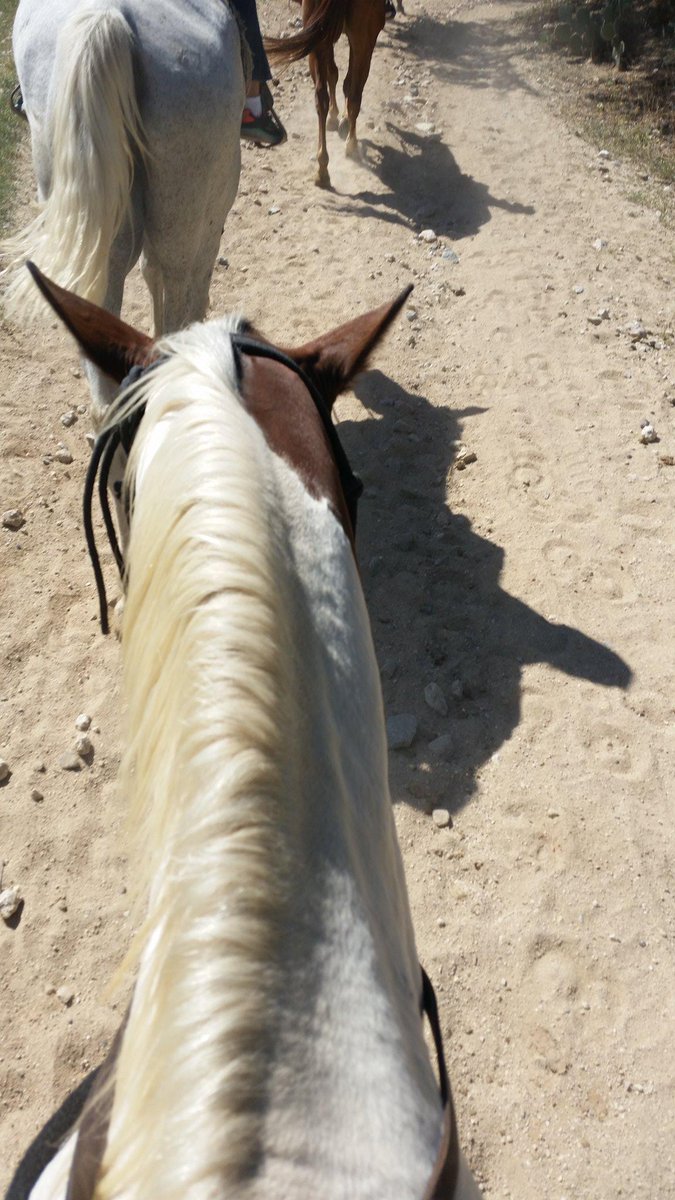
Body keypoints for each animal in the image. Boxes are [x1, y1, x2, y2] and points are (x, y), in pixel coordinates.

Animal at [265, 0, 386, 187]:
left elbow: (336, 76)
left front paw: (337, 116)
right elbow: (342, 79)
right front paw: (339, 117)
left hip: (324, 39)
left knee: (322, 97)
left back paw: (322, 169)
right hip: (361, 37)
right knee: (354, 93)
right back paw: (351, 145)